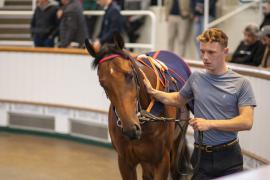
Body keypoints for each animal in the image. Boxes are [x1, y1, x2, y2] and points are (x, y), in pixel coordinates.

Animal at [85, 34, 191, 180]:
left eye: (129, 75)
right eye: (102, 83)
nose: (130, 129)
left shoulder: (162, 161)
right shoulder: (125, 162)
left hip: (176, 148)